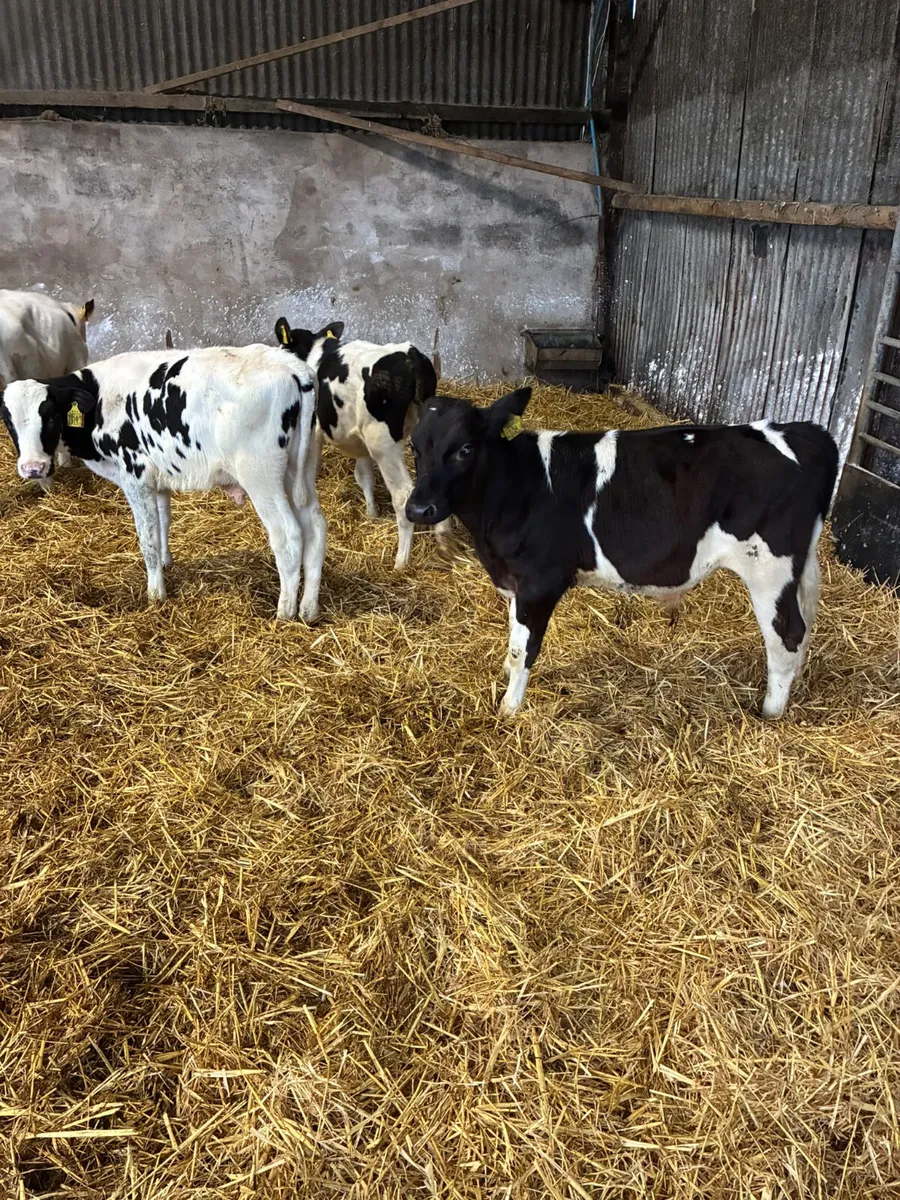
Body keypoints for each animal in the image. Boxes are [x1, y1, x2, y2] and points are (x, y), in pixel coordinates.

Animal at [0, 346, 326, 621]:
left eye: (51, 415)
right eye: (8, 421)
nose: (33, 468)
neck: (101, 397)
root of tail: (292, 365)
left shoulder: (136, 476)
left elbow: (146, 537)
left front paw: (155, 594)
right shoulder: (158, 480)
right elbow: (161, 523)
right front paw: (166, 563)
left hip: (260, 475)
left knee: (288, 534)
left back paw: (285, 611)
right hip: (300, 470)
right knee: (315, 527)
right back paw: (308, 608)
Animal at [274, 318, 452, 568]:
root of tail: (410, 354)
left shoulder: (315, 430)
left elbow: (311, 470)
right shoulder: (361, 443)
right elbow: (365, 475)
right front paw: (372, 513)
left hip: (383, 443)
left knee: (402, 495)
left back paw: (401, 562)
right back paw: (444, 544)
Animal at [405, 388, 839, 719]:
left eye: (465, 448)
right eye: (414, 447)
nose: (419, 509)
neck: (515, 489)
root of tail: (804, 431)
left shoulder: (539, 583)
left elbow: (524, 648)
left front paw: (509, 709)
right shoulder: (514, 583)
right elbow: (514, 644)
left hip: (769, 566)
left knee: (787, 633)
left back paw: (770, 712)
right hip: (796, 568)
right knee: (804, 624)